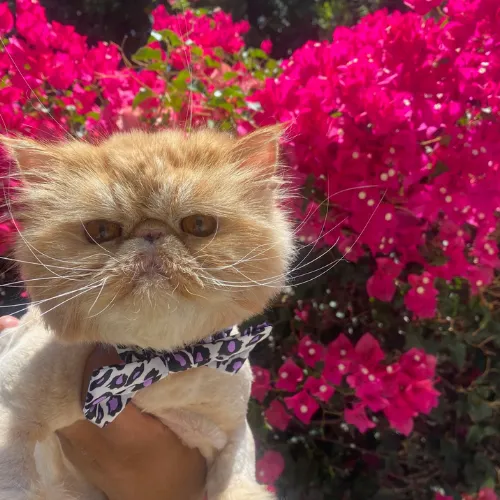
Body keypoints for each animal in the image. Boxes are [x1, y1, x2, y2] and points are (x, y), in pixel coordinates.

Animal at [0, 125, 295, 500]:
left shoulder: (235, 434)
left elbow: (237, 483)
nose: (151, 233)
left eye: (199, 224)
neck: (155, 365)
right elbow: (14, 477)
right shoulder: (13, 407)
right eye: (101, 231)